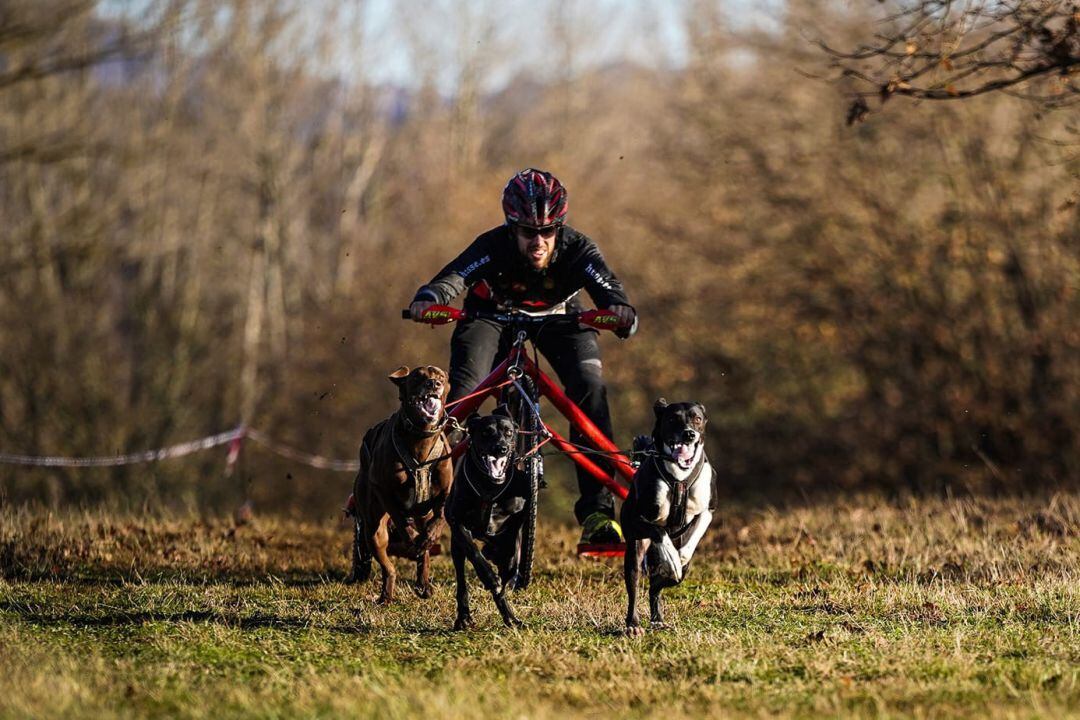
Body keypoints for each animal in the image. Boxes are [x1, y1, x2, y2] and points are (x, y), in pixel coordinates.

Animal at [347, 367, 453, 604]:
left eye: (441, 377)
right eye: (417, 376)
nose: (433, 384)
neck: (421, 438)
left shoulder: (445, 491)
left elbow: (441, 516)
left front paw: (430, 536)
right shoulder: (382, 488)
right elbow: (399, 517)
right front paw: (411, 536)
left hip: (421, 515)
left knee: (424, 555)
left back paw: (424, 583)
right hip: (373, 529)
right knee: (388, 565)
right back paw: (386, 594)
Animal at [444, 408, 529, 634]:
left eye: (509, 432)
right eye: (486, 432)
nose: (501, 448)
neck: (490, 486)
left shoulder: (517, 519)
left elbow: (510, 565)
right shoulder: (457, 521)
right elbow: (475, 553)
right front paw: (490, 578)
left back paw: (511, 617)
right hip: (456, 548)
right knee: (462, 581)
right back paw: (464, 617)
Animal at [622, 399, 712, 634]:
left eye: (697, 418)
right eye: (672, 419)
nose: (689, 434)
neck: (679, 477)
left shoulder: (708, 510)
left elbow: (696, 530)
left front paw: (680, 556)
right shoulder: (636, 517)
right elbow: (658, 530)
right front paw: (671, 556)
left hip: (679, 574)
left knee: (659, 585)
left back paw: (658, 619)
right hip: (635, 551)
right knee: (636, 585)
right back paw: (633, 624)